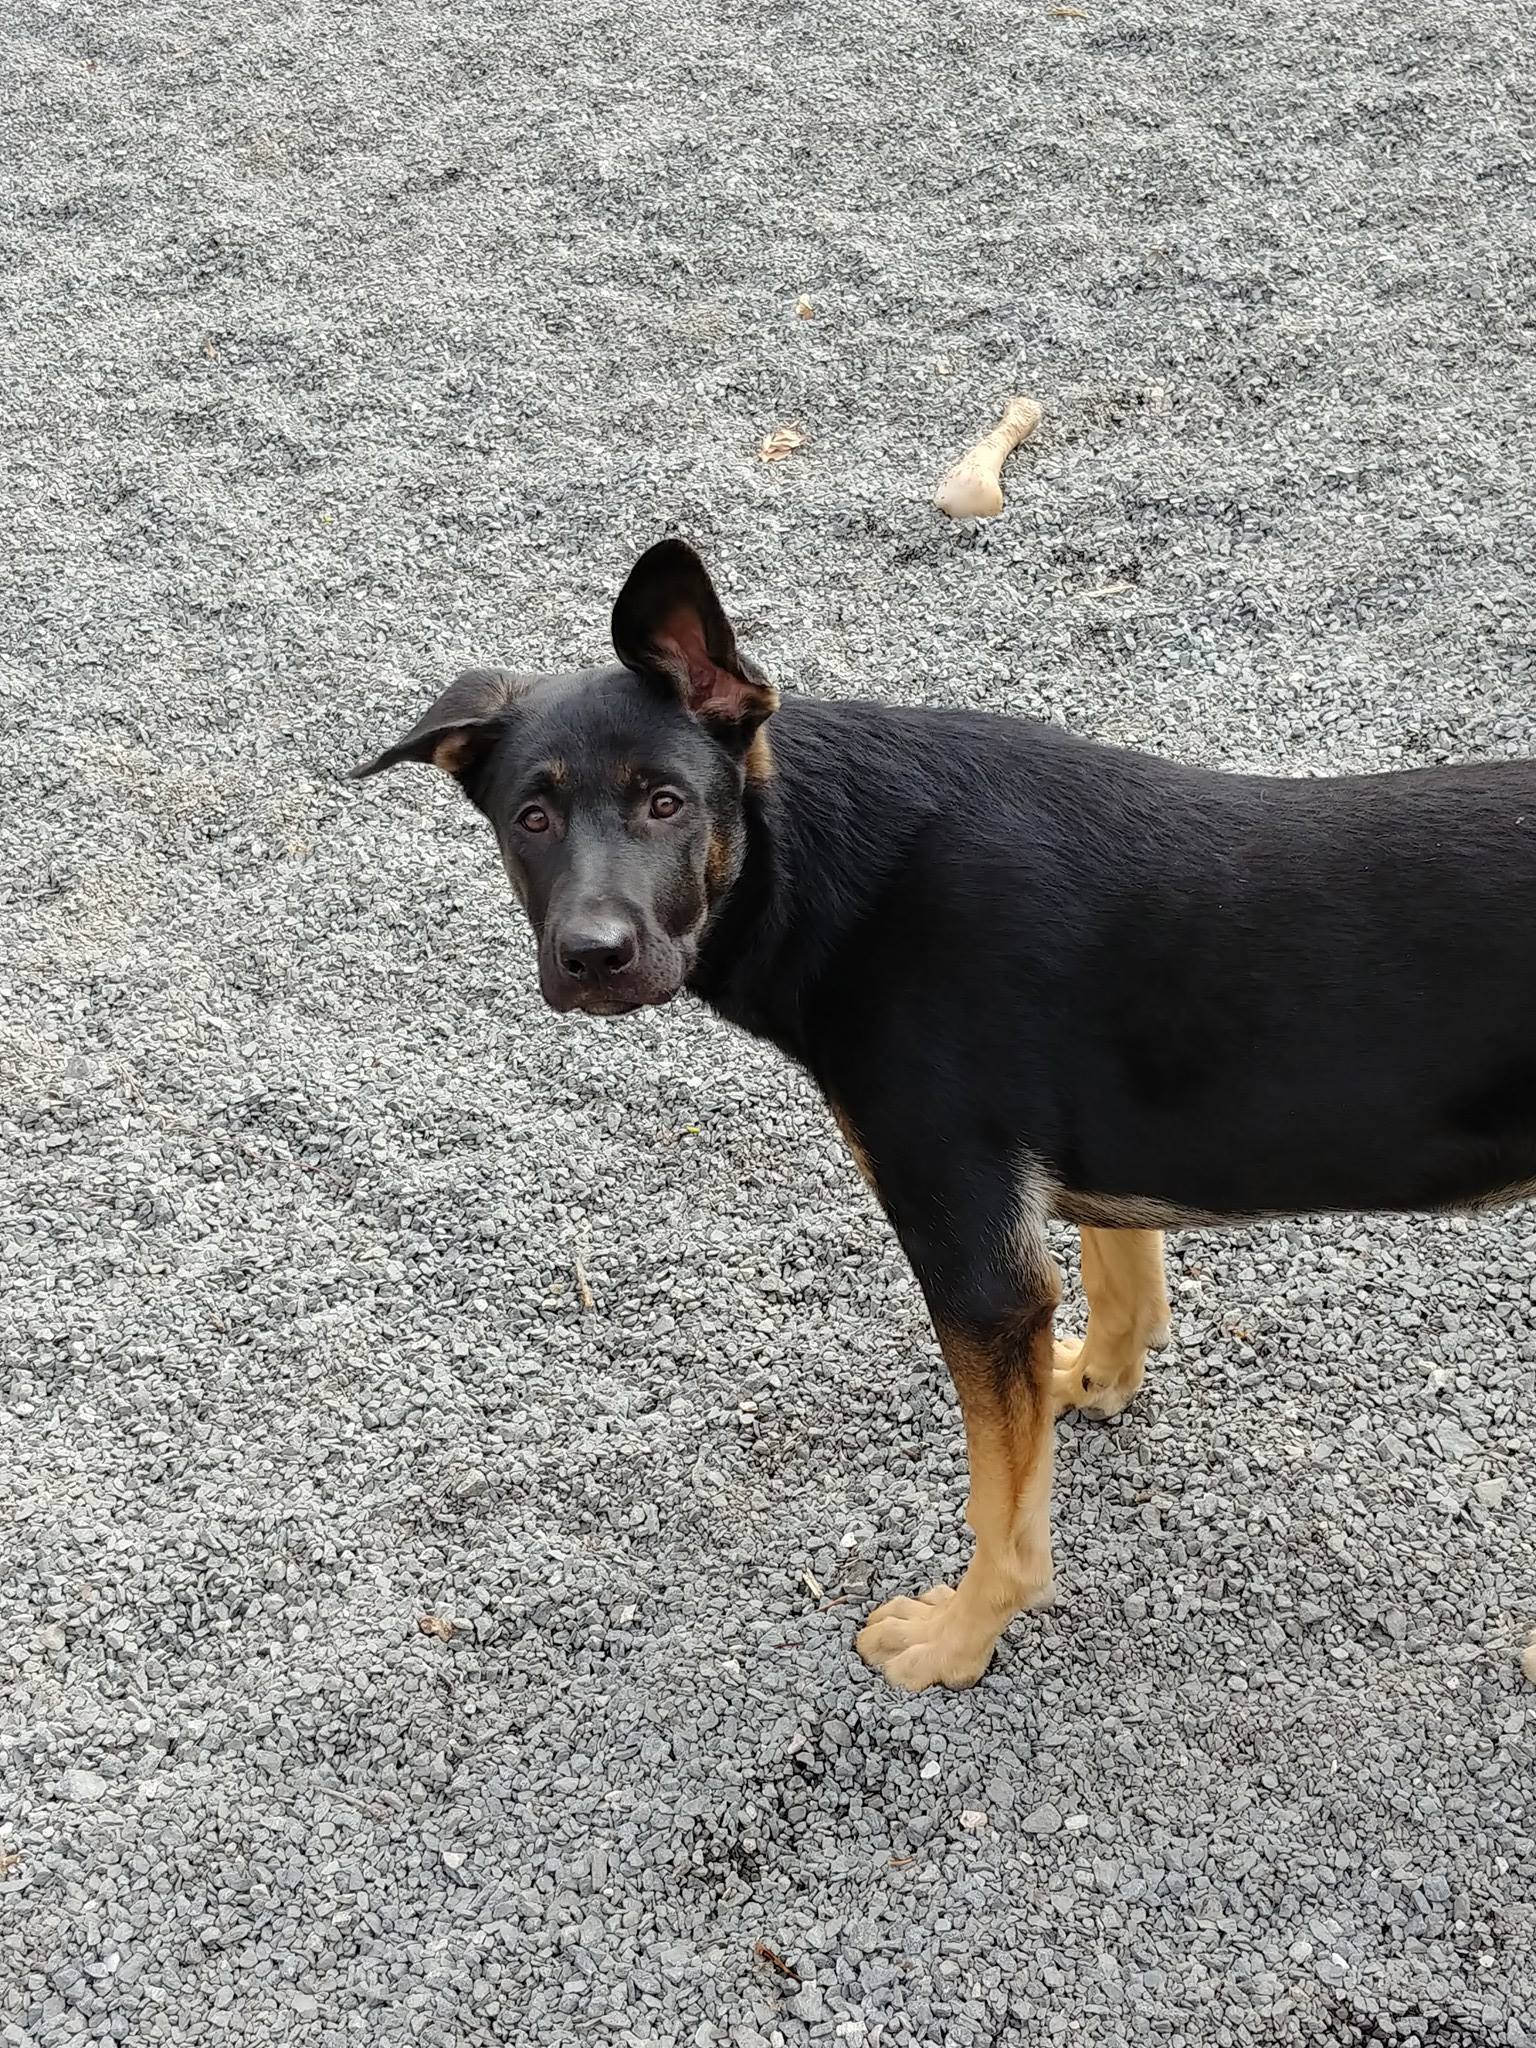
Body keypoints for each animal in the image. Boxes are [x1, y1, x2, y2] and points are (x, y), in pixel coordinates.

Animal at [352, 536, 1536, 1687]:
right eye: (531, 817)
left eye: (666, 801)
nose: (592, 957)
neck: (813, 857)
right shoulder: (1086, 1174)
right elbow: (1123, 1291)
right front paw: (1091, 1382)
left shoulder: (973, 1263)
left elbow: (1002, 1517)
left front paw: (961, 1640)